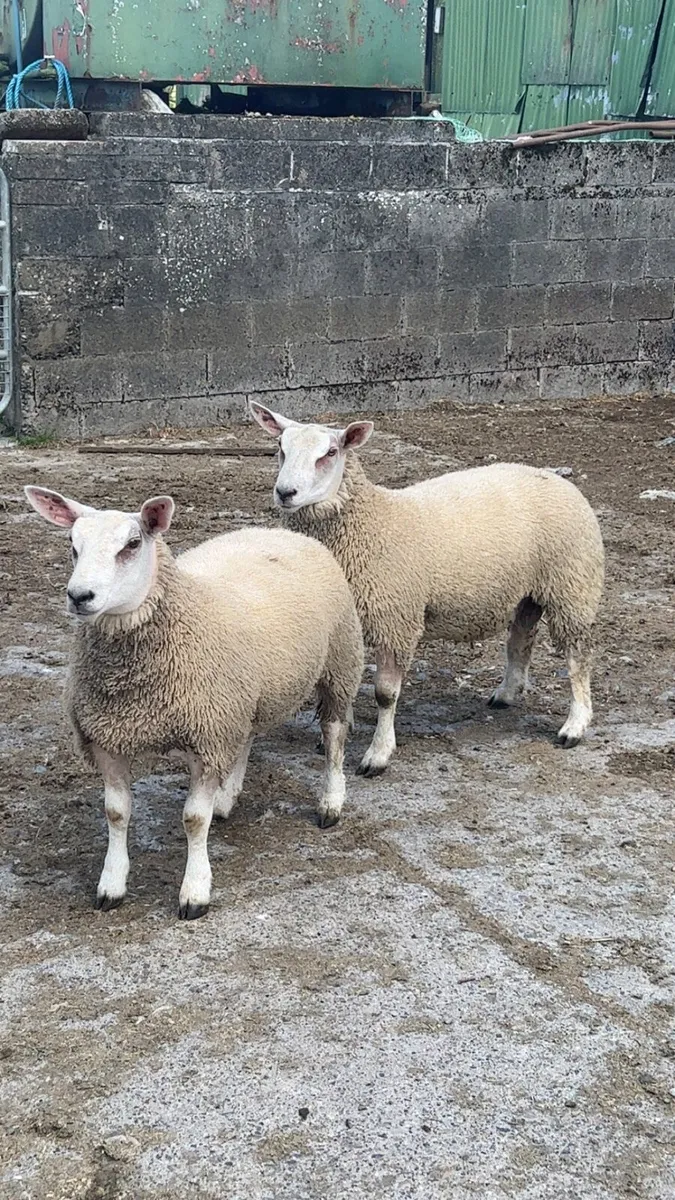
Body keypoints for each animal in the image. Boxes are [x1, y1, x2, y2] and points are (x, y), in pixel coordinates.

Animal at [24, 486, 364, 919]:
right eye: (72, 544)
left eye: (132, 544)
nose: (79, 596)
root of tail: (276, 532)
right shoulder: (108, 738)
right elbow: (116, 813)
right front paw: (111, 885)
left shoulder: (206, 738)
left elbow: (193, 820)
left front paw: (195, 891)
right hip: (240, 699)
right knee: (247, 737)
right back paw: (227, 797)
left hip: (339, 662)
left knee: (335, 736)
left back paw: (330, 803)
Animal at [249, 403, 605, 777]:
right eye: (280, 448)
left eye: (330, 453)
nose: (285, 493)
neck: (372, 523)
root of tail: (555, 478)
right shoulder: (347, 622)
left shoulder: (395, 621)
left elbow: (385, 695)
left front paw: (378, 754)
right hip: (529, 590)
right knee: (521, 638)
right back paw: (507, 693)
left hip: (572, 584)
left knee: (578, 656)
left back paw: (574, 726)